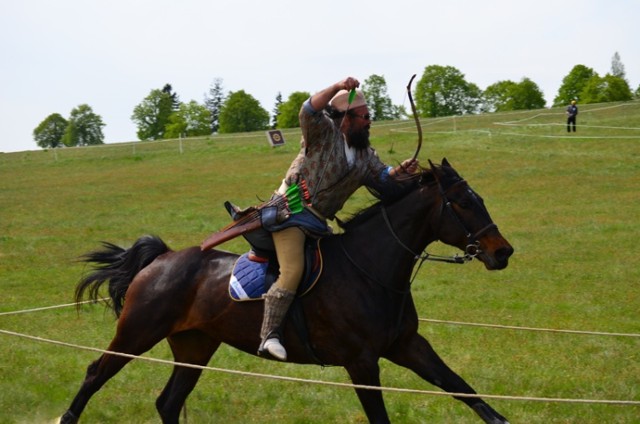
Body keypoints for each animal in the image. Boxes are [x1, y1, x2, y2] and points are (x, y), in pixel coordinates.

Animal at [57, 159, 512, 424]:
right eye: (463, 203)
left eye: (478, 198)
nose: (502, 251)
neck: (370, 270)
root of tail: (161, 260)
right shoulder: (362, 363)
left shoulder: (407, 346)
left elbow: (463, 389)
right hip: (137, 333)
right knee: (95, 374)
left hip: (194, 347)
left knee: (168, 402)